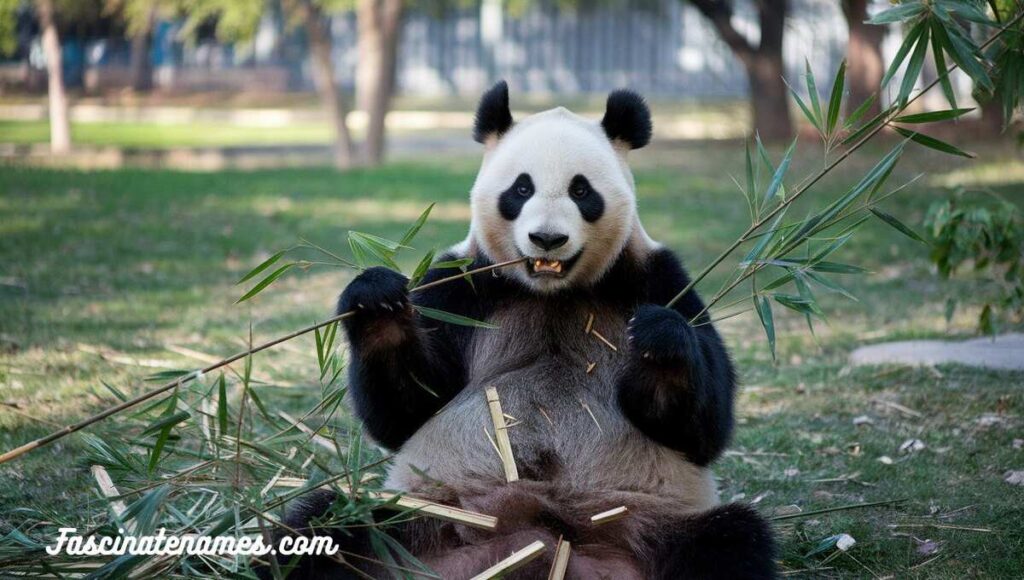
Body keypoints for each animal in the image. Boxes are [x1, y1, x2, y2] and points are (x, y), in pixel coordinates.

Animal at [271, 82, 777, 579]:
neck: (549, 292)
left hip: (646, 521)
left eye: (581, 191)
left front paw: (660, 338)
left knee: (728, 541)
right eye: (521, 188)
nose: (547, 239)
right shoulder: (462, 288)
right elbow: (406, 408)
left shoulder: (656, 279)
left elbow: (701, 427)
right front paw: (377, 299)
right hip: (429, 515)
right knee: (329, 528)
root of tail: (537, 544)